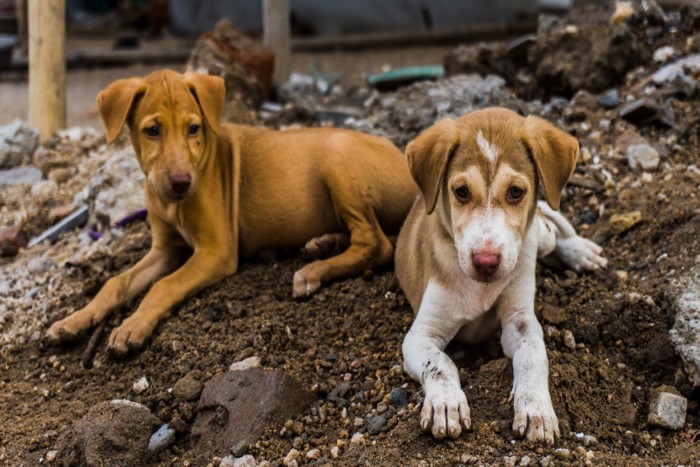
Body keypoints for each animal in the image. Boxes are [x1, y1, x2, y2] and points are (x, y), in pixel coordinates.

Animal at [46, 68, 418, 354]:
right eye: (152, 130)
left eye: (193, 128)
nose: (181, 182)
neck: (173, 203)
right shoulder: (164, 250)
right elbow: (115, 282)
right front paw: (74, 320)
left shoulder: (217, 251)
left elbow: (164, 285)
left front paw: (132, 325)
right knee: (367, 235)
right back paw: (323, 244)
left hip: (337, 152)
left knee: (375, 242)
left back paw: (313, 271)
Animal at [394, 108, 608, 444]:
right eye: (461, 192)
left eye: (516, 192)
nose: (485, 262)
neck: (480, 288)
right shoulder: (420, 335)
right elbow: (439, 363)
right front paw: (446, 403)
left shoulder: (520, 320)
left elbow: (534, 354)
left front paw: (535, 408)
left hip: (538, 238)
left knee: (550, 226)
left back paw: (580, 251)